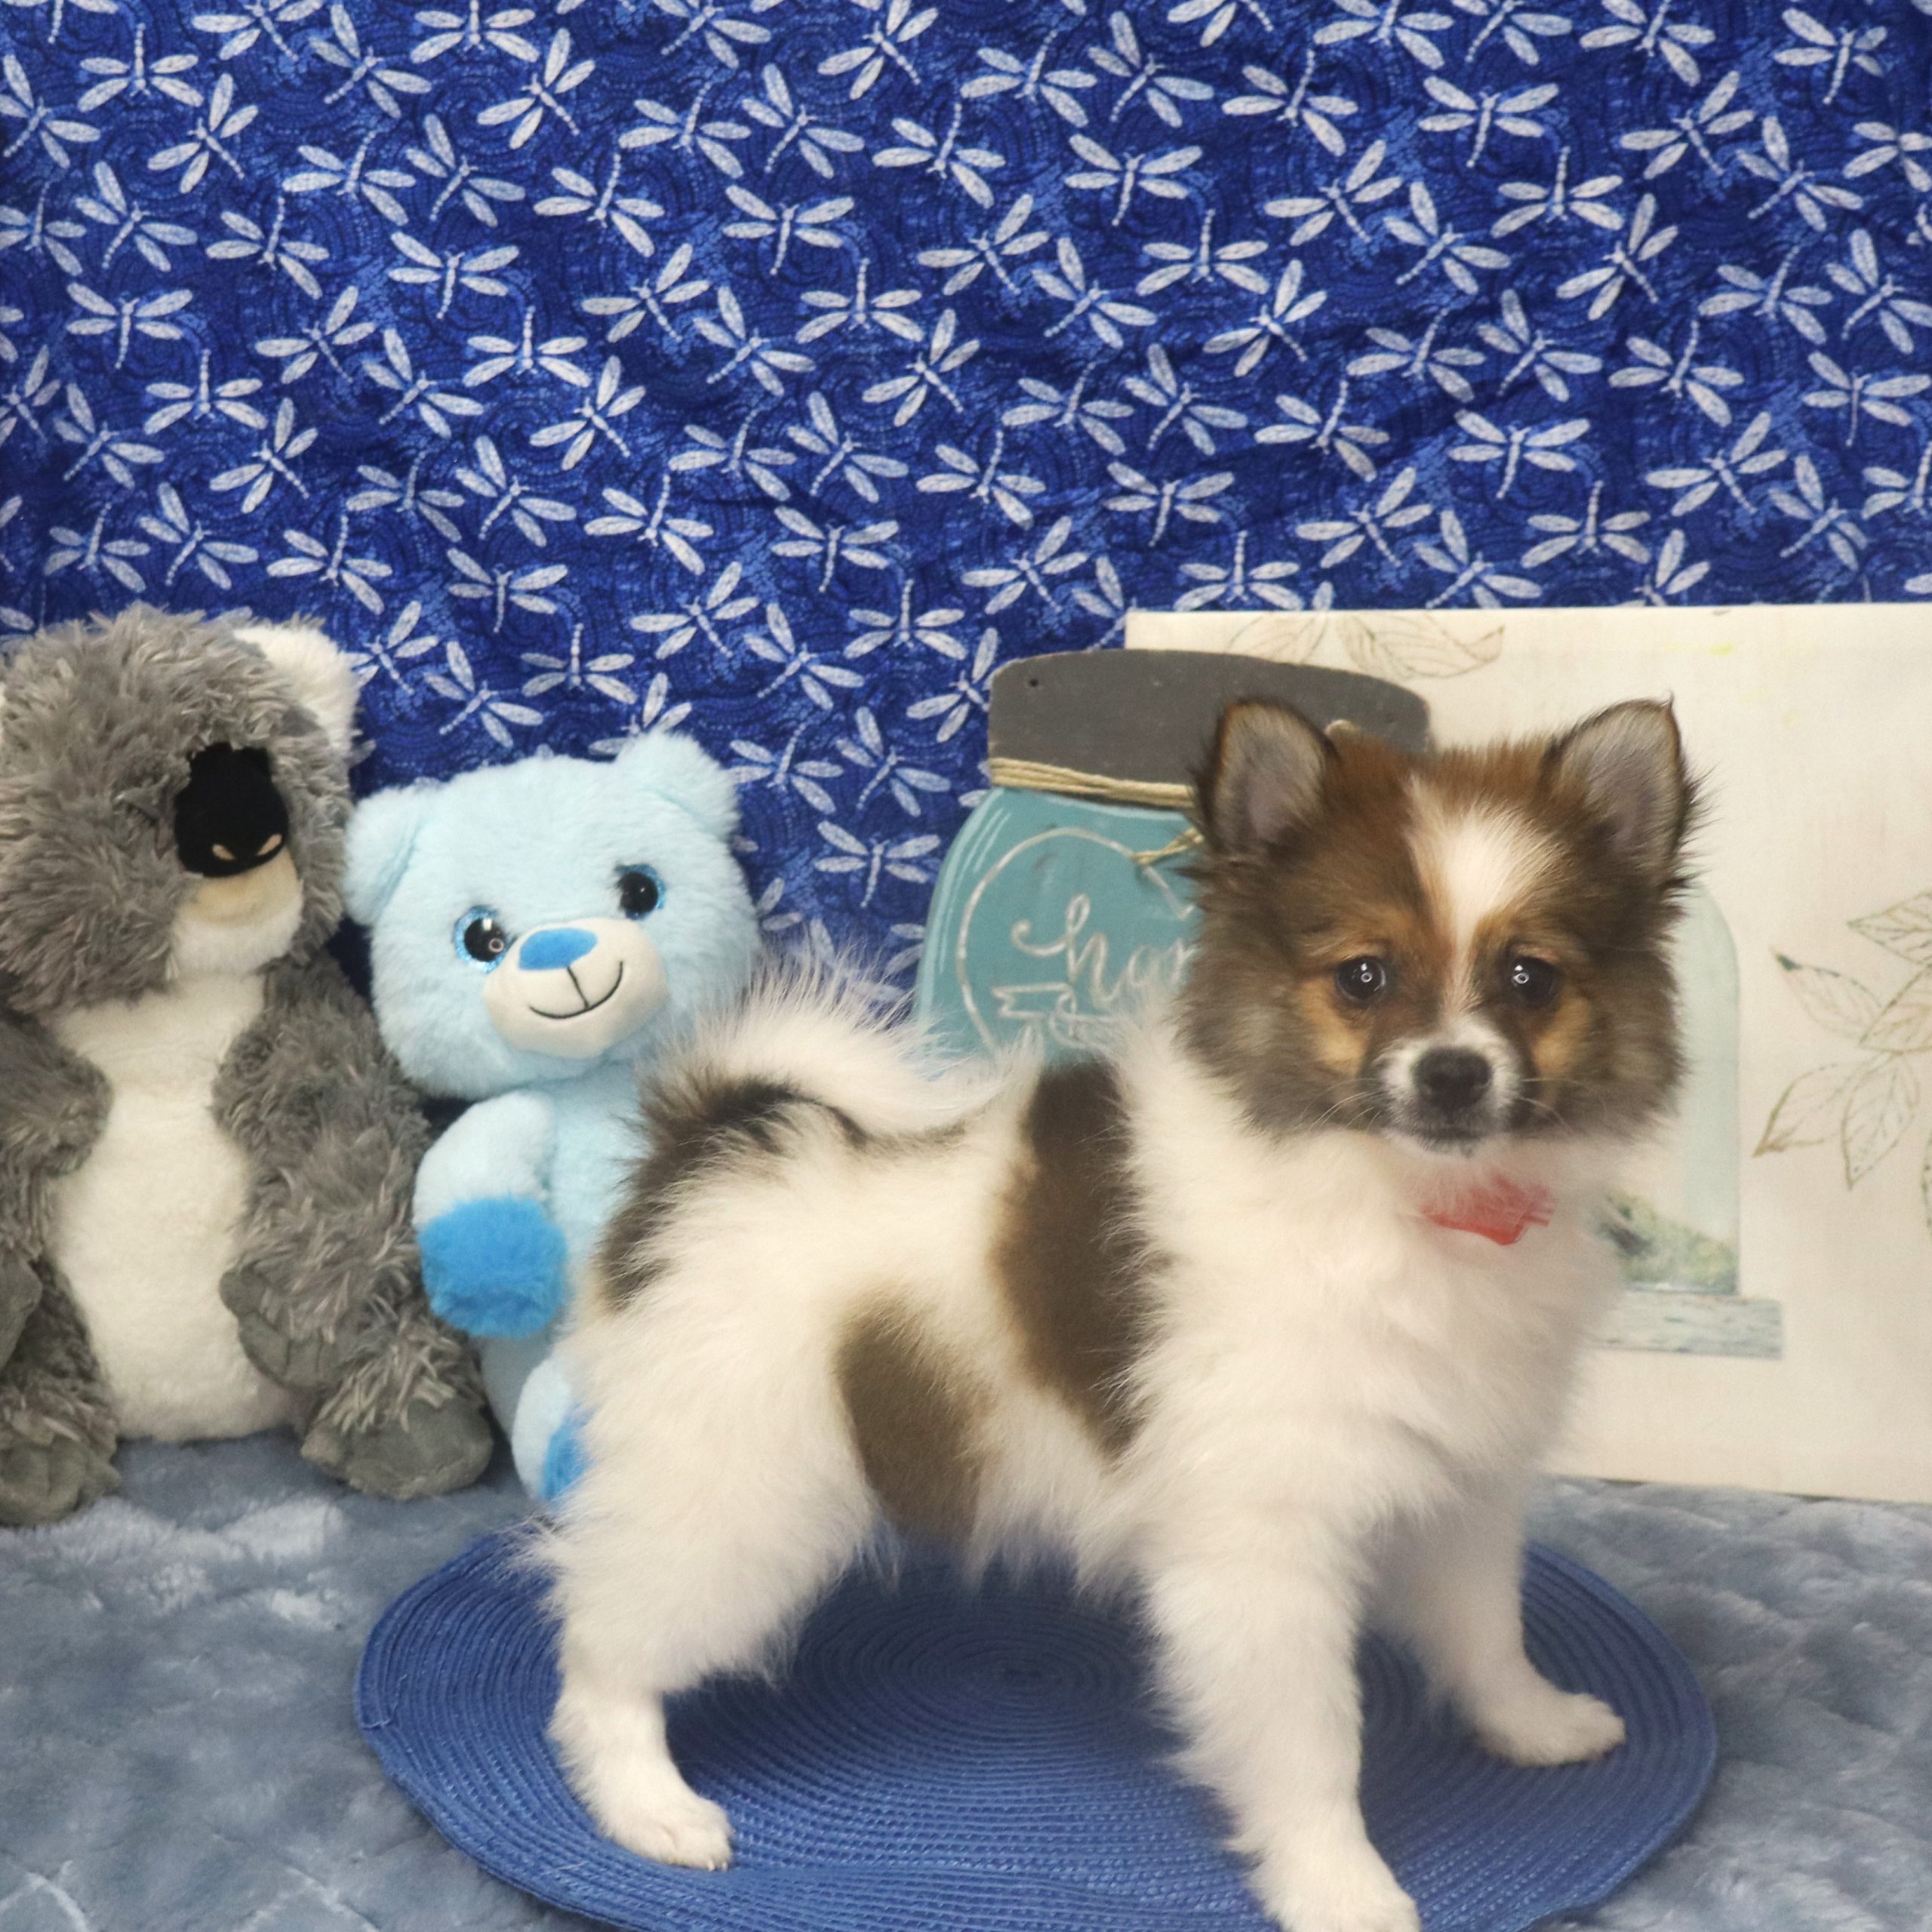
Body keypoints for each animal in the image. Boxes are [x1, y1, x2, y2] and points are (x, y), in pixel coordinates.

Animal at [546, 696, 1694, 1932]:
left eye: (1530, 979)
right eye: (1364, 977)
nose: (1451, 1073)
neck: (1398, 1198)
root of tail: (714, 1137)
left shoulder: (1463, 1483)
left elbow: (1487, 1629)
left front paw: (1534, 1723)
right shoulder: (1260, 1545)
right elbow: (1311, 1747)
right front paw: (1341, 1885)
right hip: (740, 1495)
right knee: (601, 1645)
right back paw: (649, 1806)